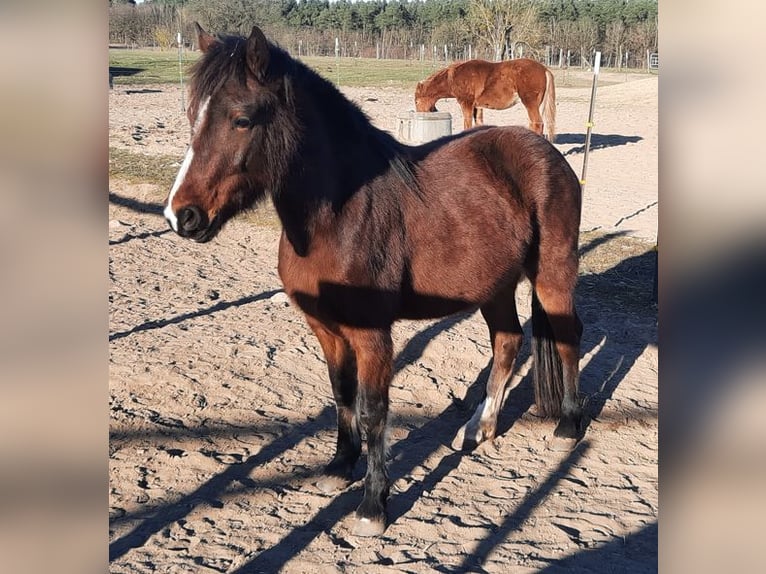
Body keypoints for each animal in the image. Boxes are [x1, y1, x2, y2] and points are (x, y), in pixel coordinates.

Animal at [414, 58, 557, 140]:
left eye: (416, 101)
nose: (421, 113)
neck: (455, 77)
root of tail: (544, 69)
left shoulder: (466, 103)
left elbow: (467, 124)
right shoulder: (477, 107)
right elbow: (478, 124)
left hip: (530, 103)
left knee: (538, 124)